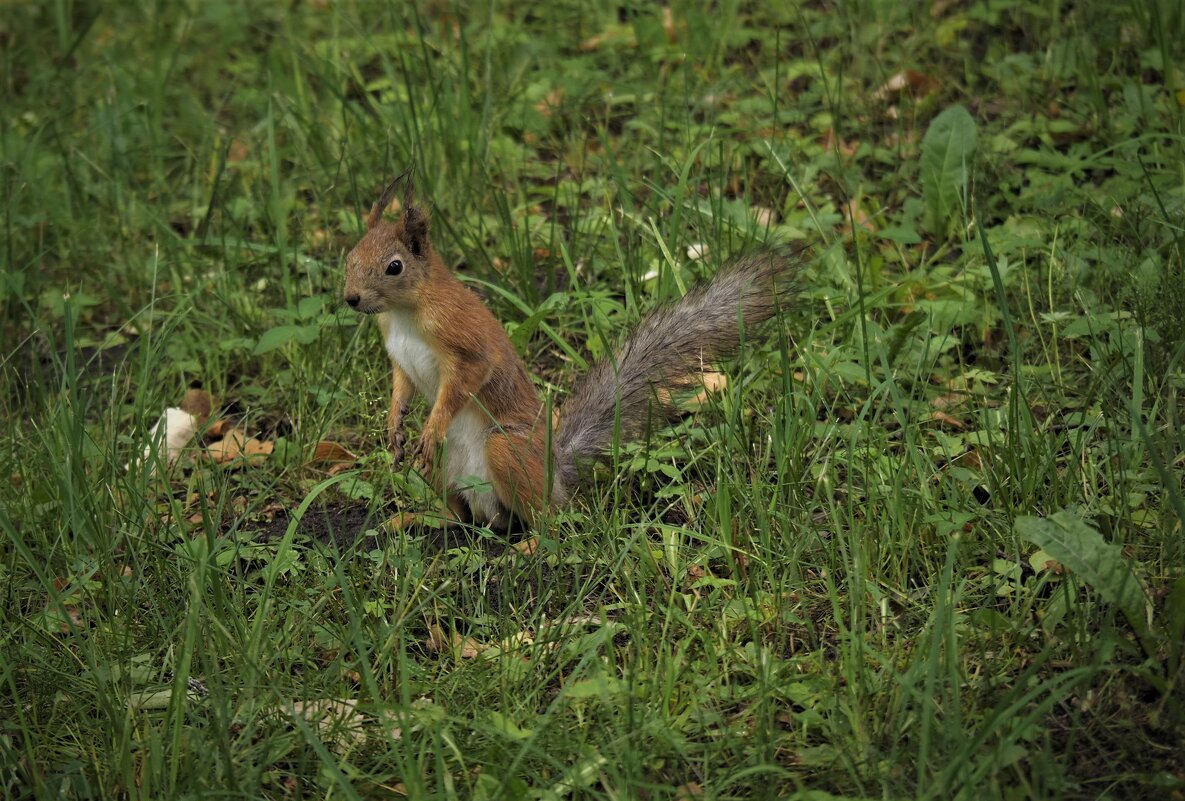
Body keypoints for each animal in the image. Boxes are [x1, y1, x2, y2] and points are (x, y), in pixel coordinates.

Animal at [346, 171, 801, 528]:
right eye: (350, 255)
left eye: (394, 266)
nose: (351, 299)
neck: (405, 312)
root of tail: (555, 474)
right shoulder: (398, 354)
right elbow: (401, 385)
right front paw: (395, 425)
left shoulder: (462, 337)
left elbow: (470, 375)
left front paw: (432, 425)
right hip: (444, 473)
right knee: (457, 516)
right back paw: (416, 517)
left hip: (506, 451)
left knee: (550, 520)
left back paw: (529, 547)